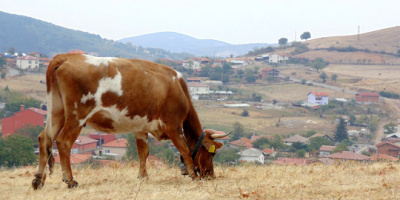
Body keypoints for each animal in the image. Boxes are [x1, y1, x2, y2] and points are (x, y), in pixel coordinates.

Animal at [32, 53, 230, 189]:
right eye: (211, 153)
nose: (210, 175)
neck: (177, 87)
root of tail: (68, 56)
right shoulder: (173, 126)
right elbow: (185, 150)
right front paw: (193, 176)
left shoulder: (140, 127)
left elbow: (143, 152)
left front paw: (143, 176)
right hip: (77, 115)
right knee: (63, 141)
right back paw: (70, 180)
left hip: (56, 111)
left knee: (44, 138)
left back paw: (38, 180)